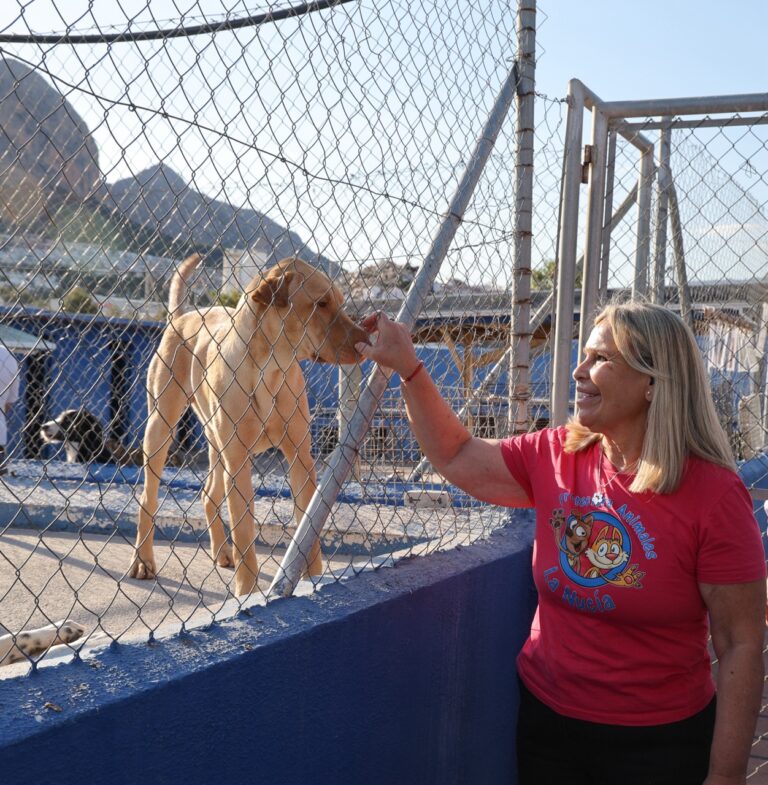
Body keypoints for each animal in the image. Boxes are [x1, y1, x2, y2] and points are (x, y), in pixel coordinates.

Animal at [129, 256, 368, 596]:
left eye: (340, 302)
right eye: (321, 303)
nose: (366, 341)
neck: (271, 368)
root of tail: (183, 316)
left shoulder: (300, 458)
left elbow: (307, 528)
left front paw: (312, 580)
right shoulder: (239, 462)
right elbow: (243, 532)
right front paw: (247, 592)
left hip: (217, 447)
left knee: (208, 495)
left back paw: (221, 551)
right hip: (160, 431)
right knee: (148, 499)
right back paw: (143, 559)